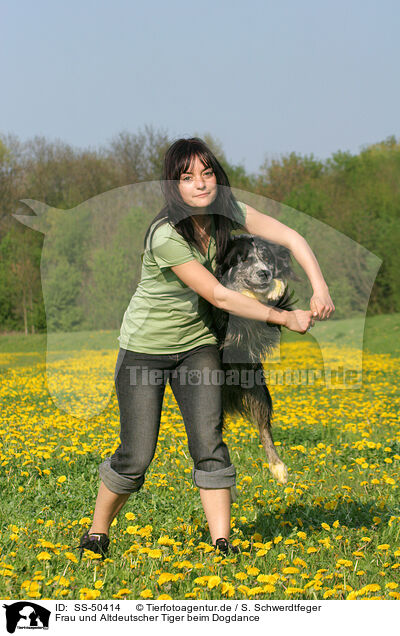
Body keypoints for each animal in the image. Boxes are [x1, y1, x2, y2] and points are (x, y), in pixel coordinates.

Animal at [212, 234, 300, 486]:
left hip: (259, 391)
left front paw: (274, 289)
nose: (265, 273)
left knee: (264, 428)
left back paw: (278, 468)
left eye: (267, 258)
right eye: (244, 259)